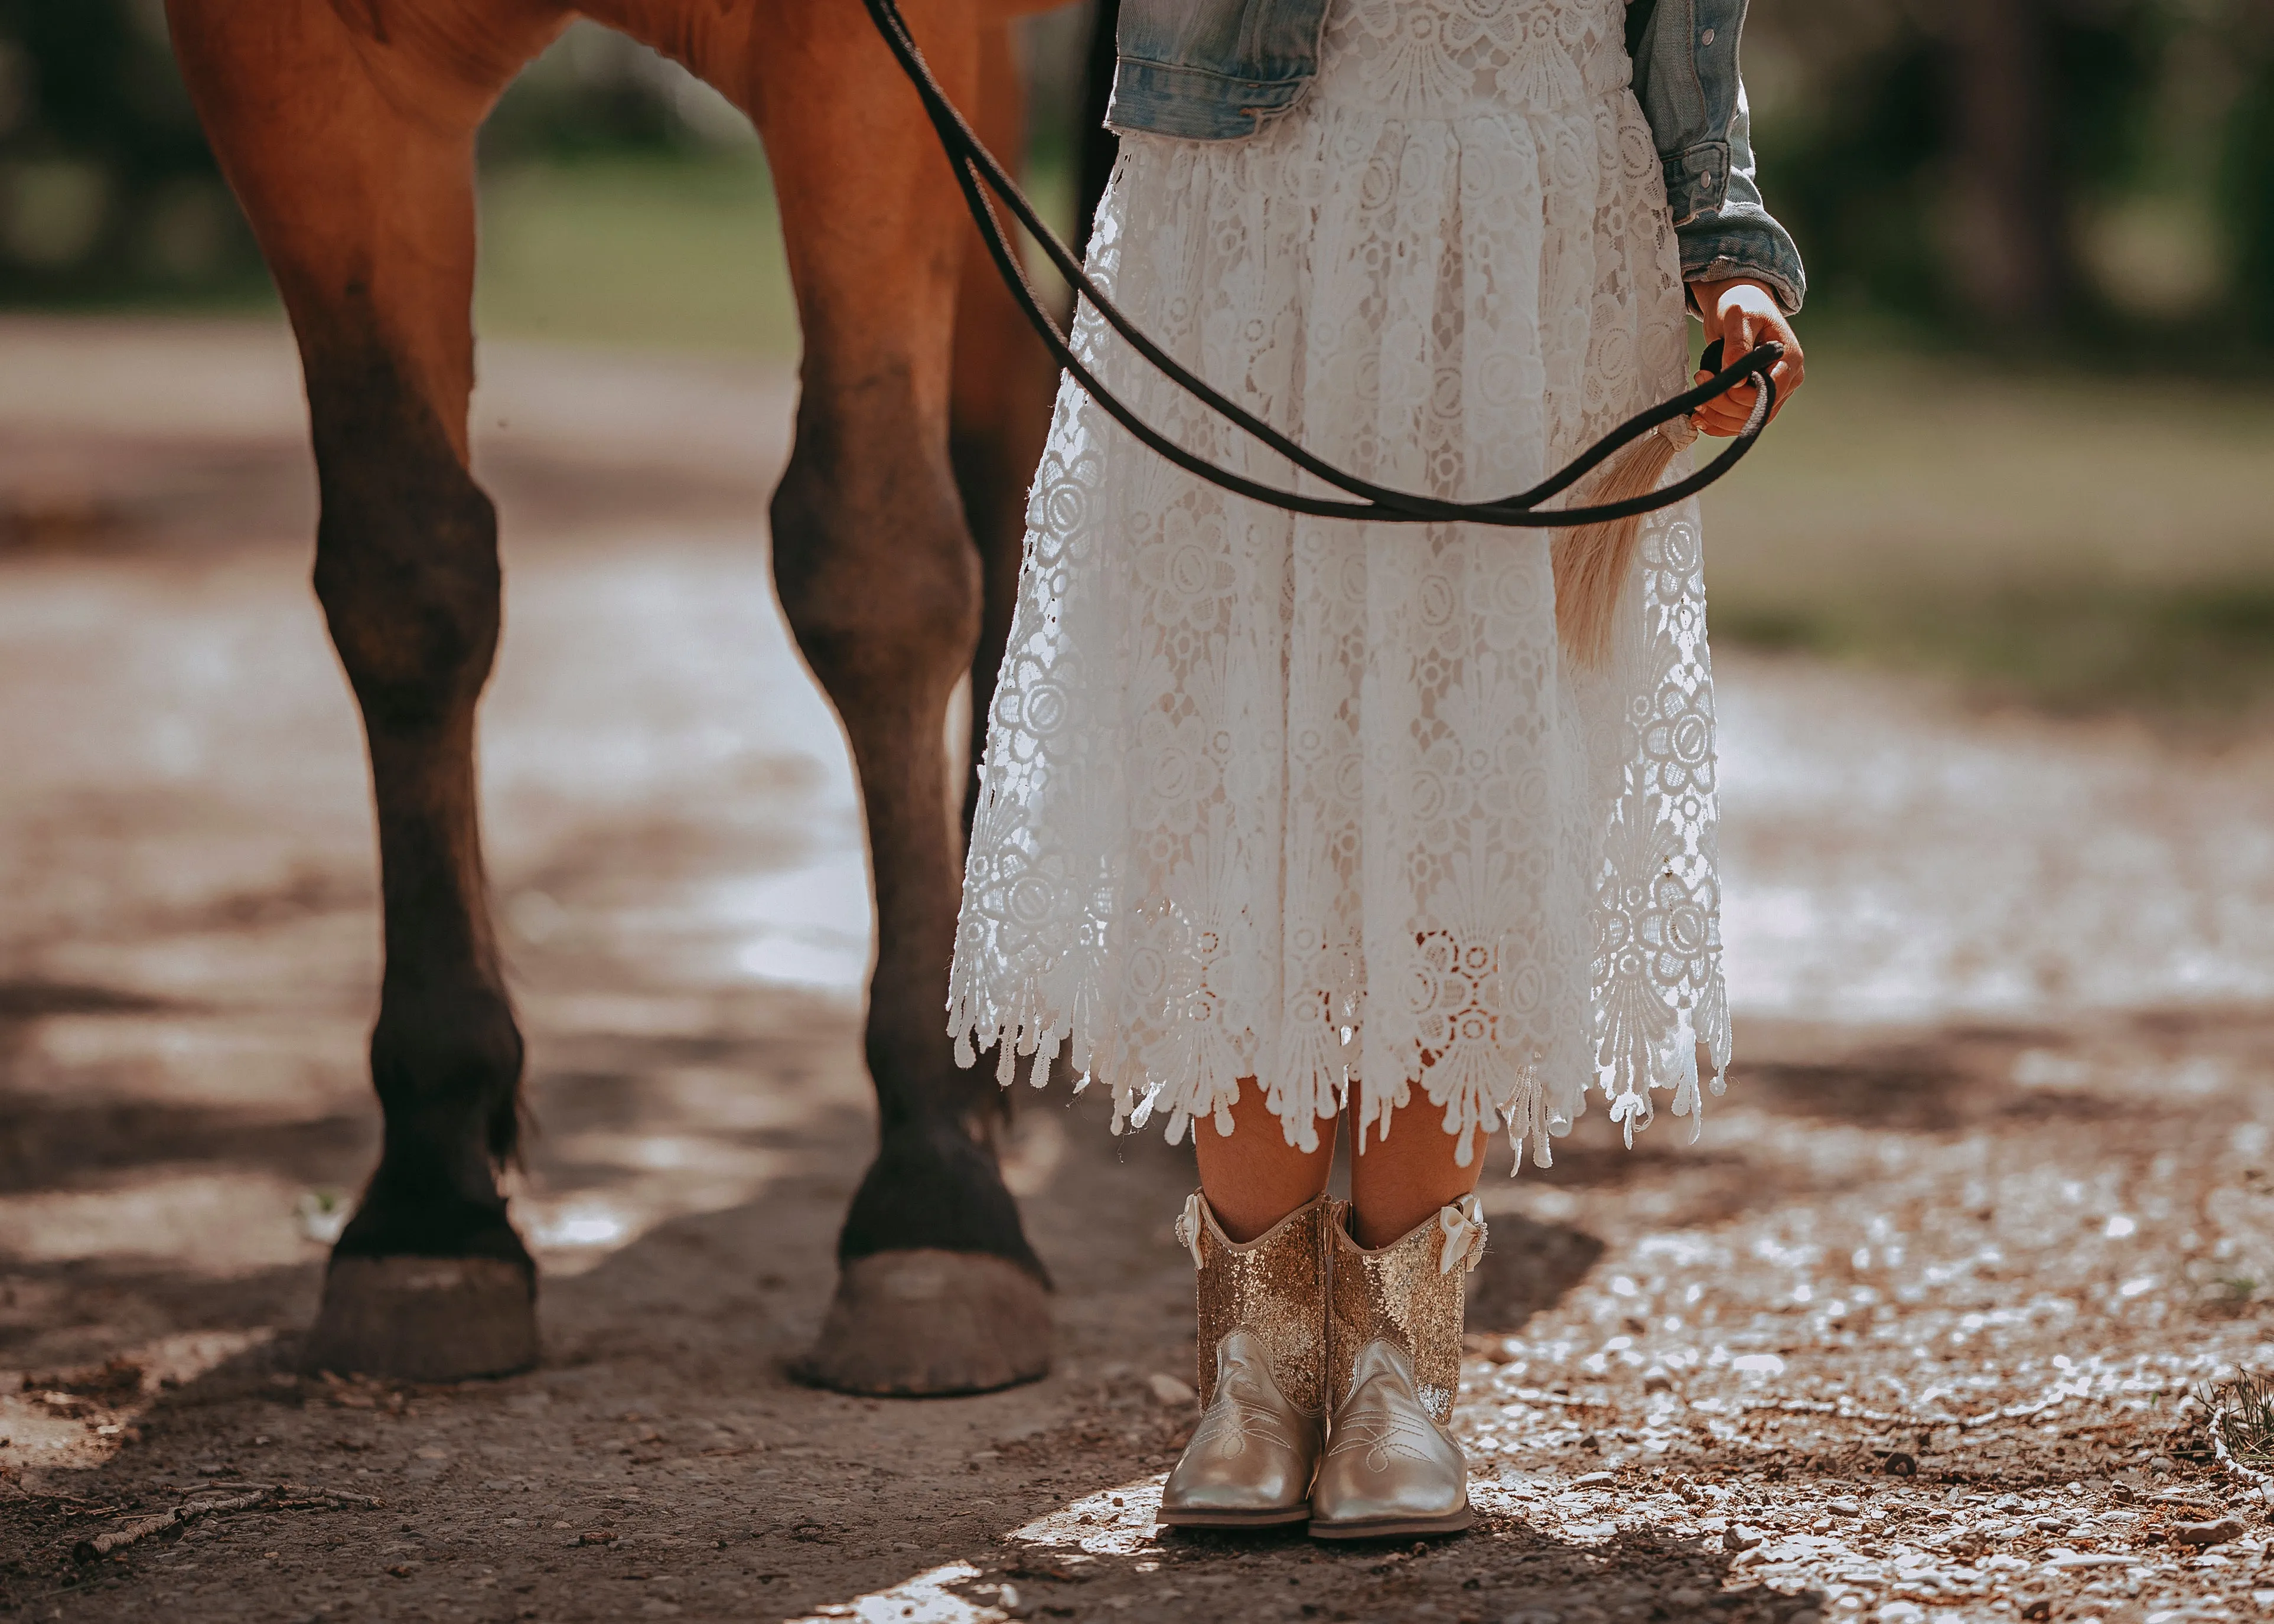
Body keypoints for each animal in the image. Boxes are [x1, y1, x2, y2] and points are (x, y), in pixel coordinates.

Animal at [166, 0, 1073, 1392]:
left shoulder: (869, 59)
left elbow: (870, 564)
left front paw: (932, 1189)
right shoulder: (294, 65)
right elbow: (406, 574)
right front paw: (430, 1196)